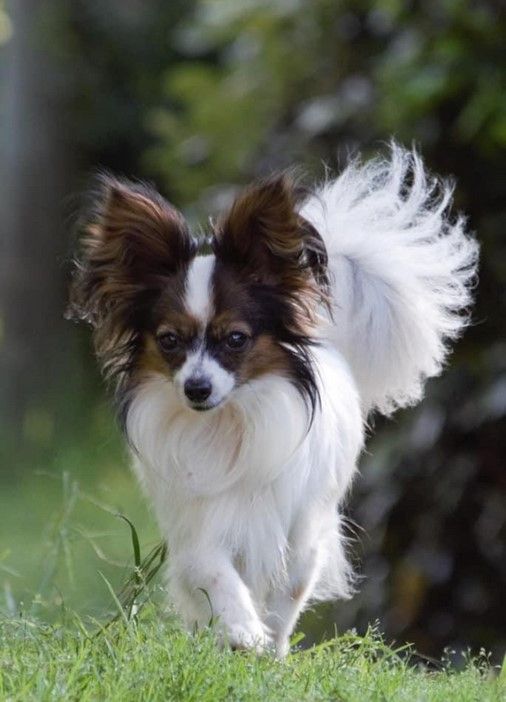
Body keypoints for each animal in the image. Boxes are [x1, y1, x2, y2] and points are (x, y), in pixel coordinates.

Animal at [67, 144, 478, 657]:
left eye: (236, 339)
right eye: (169, 341)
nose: (196, 388)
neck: (229, 421)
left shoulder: (300, 533)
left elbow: (286, 600)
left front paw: (270, 651)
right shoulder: (198, 526)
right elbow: (215, 574)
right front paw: (241, 629)